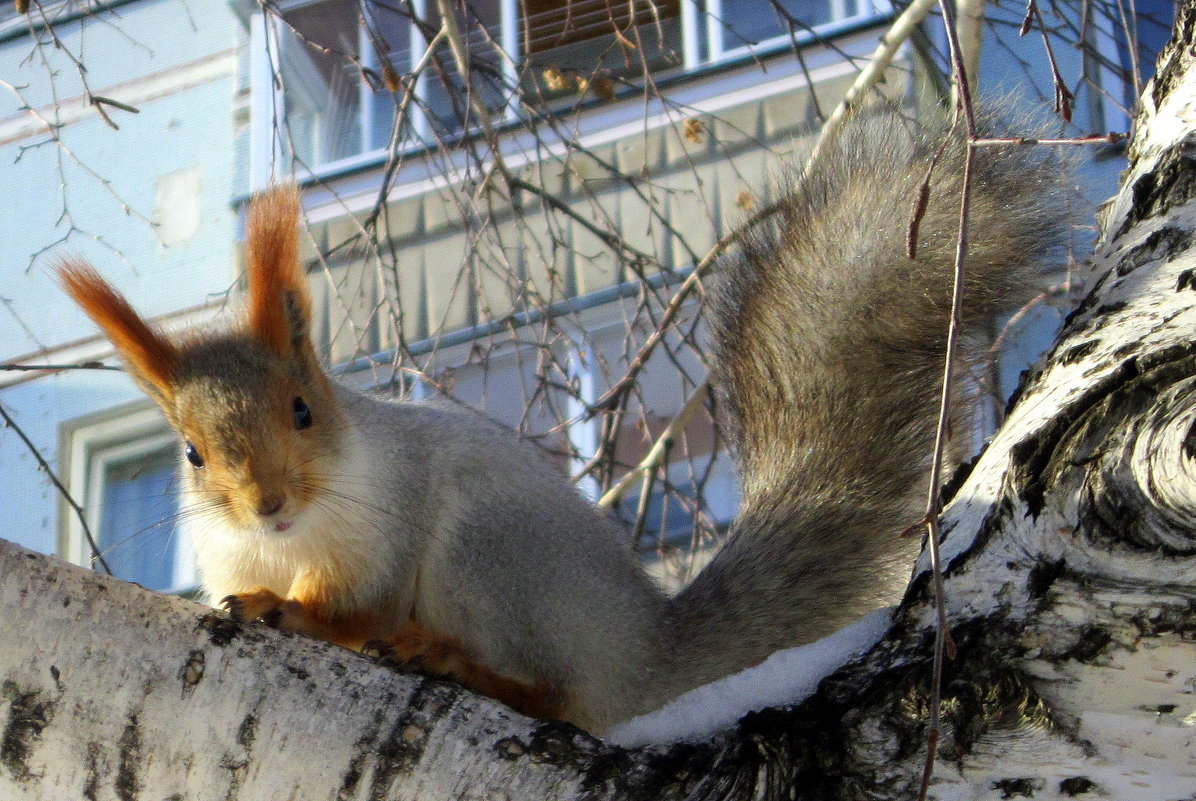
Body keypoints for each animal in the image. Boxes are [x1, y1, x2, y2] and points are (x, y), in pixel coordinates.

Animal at [58, 108, 1066, 741]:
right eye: (191, 454)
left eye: (303, 410)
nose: (267, 501)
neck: (287, 539)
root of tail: (643, 648)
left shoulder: (385, 524)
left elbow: (354, 604)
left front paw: (292, 610)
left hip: (491, 556)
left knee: (551, 693)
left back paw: (450, 657)